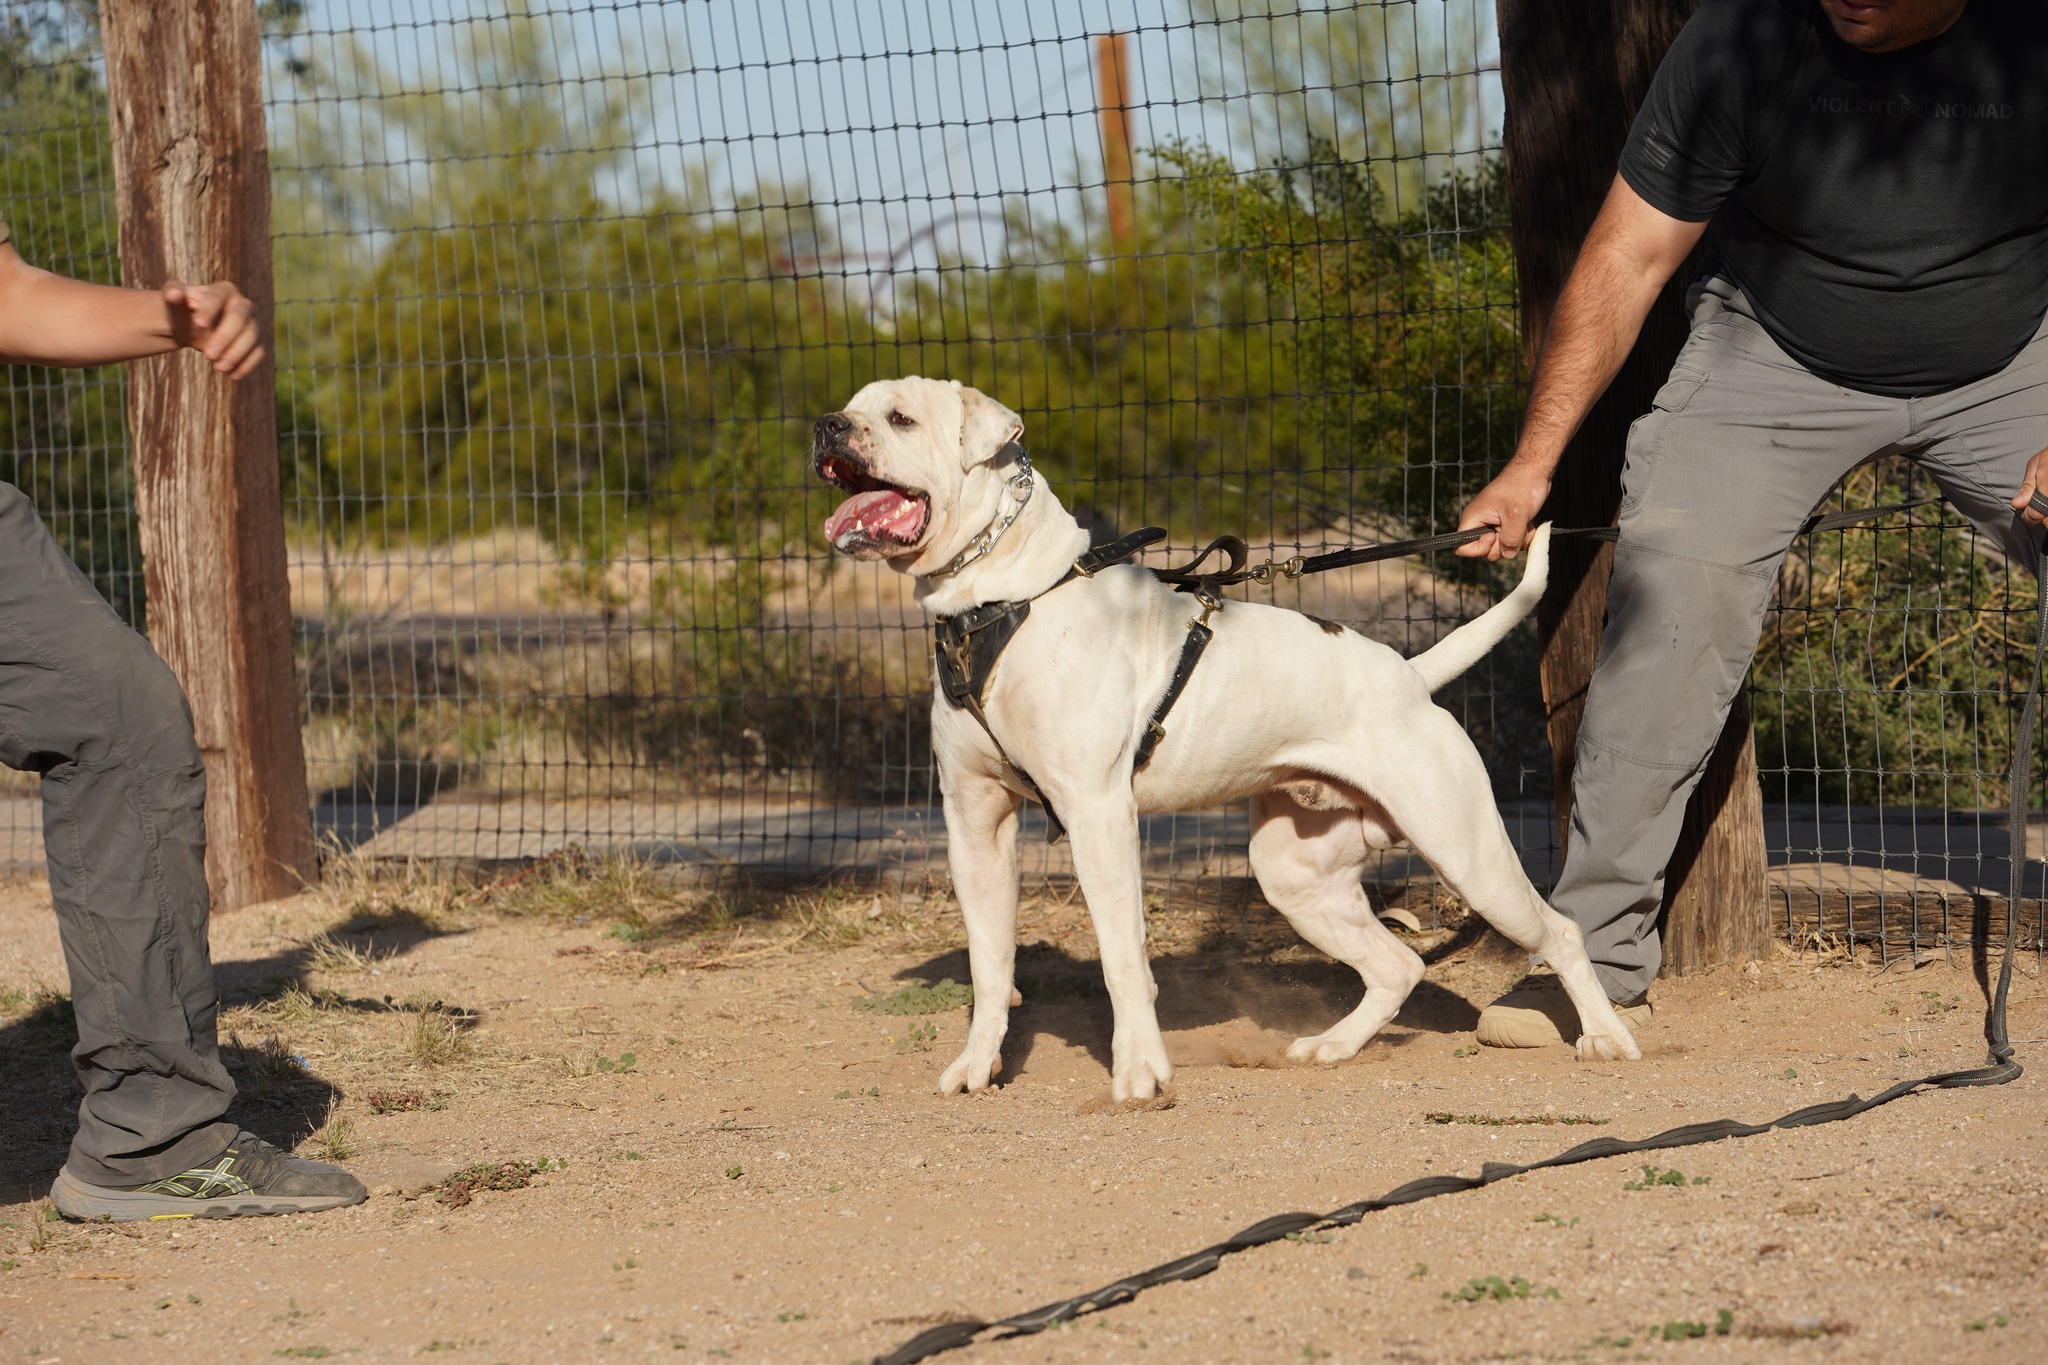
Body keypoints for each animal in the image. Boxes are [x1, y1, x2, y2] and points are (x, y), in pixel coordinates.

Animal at [811, 378, 1630, 1105]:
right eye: (850, 405)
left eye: (901, 417)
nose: (824, 426)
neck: (1005, 600)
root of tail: (1410, 674)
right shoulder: (974, 823)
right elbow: (989, 965)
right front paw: (977, 1065)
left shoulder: (1098, 815)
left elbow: (1122, 958)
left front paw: (1141, 1073)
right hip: (1295, 874)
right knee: (1397, 965)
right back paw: (1332, 1045)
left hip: (1466, 850)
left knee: (1559, 930)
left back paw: (1605, 1036)